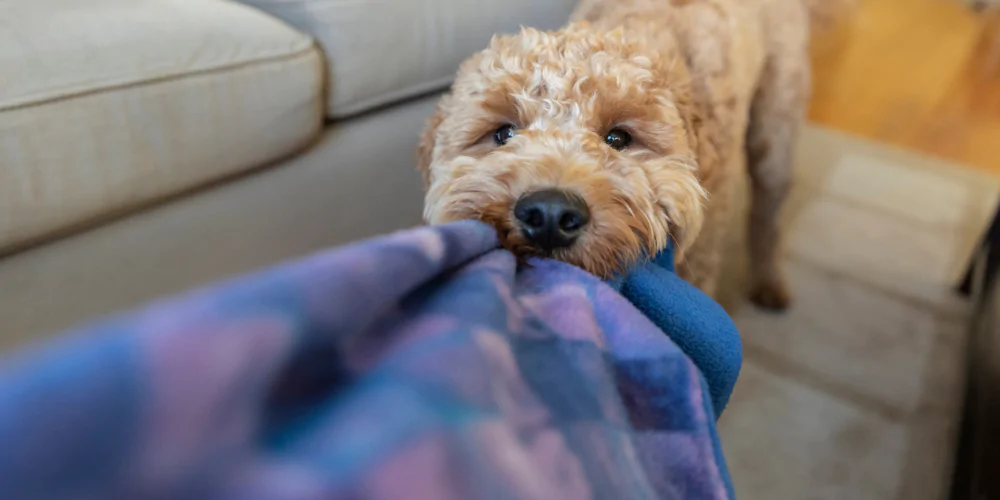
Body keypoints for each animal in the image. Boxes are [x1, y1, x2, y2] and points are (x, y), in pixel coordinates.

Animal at [414, 0, 844, 308]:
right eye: (503, 133)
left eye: (618, 138)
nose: (549, 215)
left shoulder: (699, 267)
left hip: (776, 128)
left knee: (767, 216)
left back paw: (770, 284)